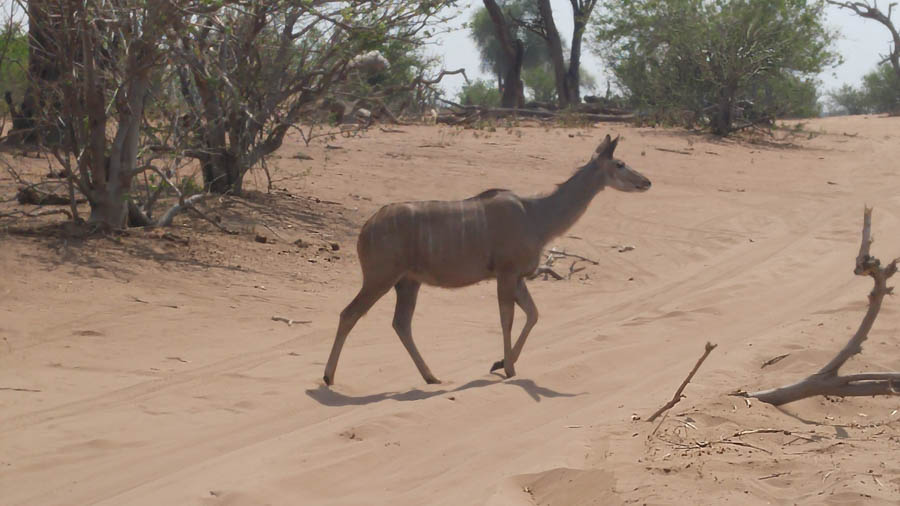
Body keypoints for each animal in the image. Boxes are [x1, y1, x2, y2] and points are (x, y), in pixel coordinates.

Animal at [326, 132, 652, 386]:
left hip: (408, 283)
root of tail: (366, 228)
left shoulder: (517, 277)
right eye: (620, 163)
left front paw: (500, 363)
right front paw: (507, 368)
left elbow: (533, 314)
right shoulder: (506, 274)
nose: (646, 181)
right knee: (349, 313)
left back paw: (431, 376)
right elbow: (507, 318)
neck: (536, 215)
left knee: (400, 323)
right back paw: (328, 377)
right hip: (380, 278)